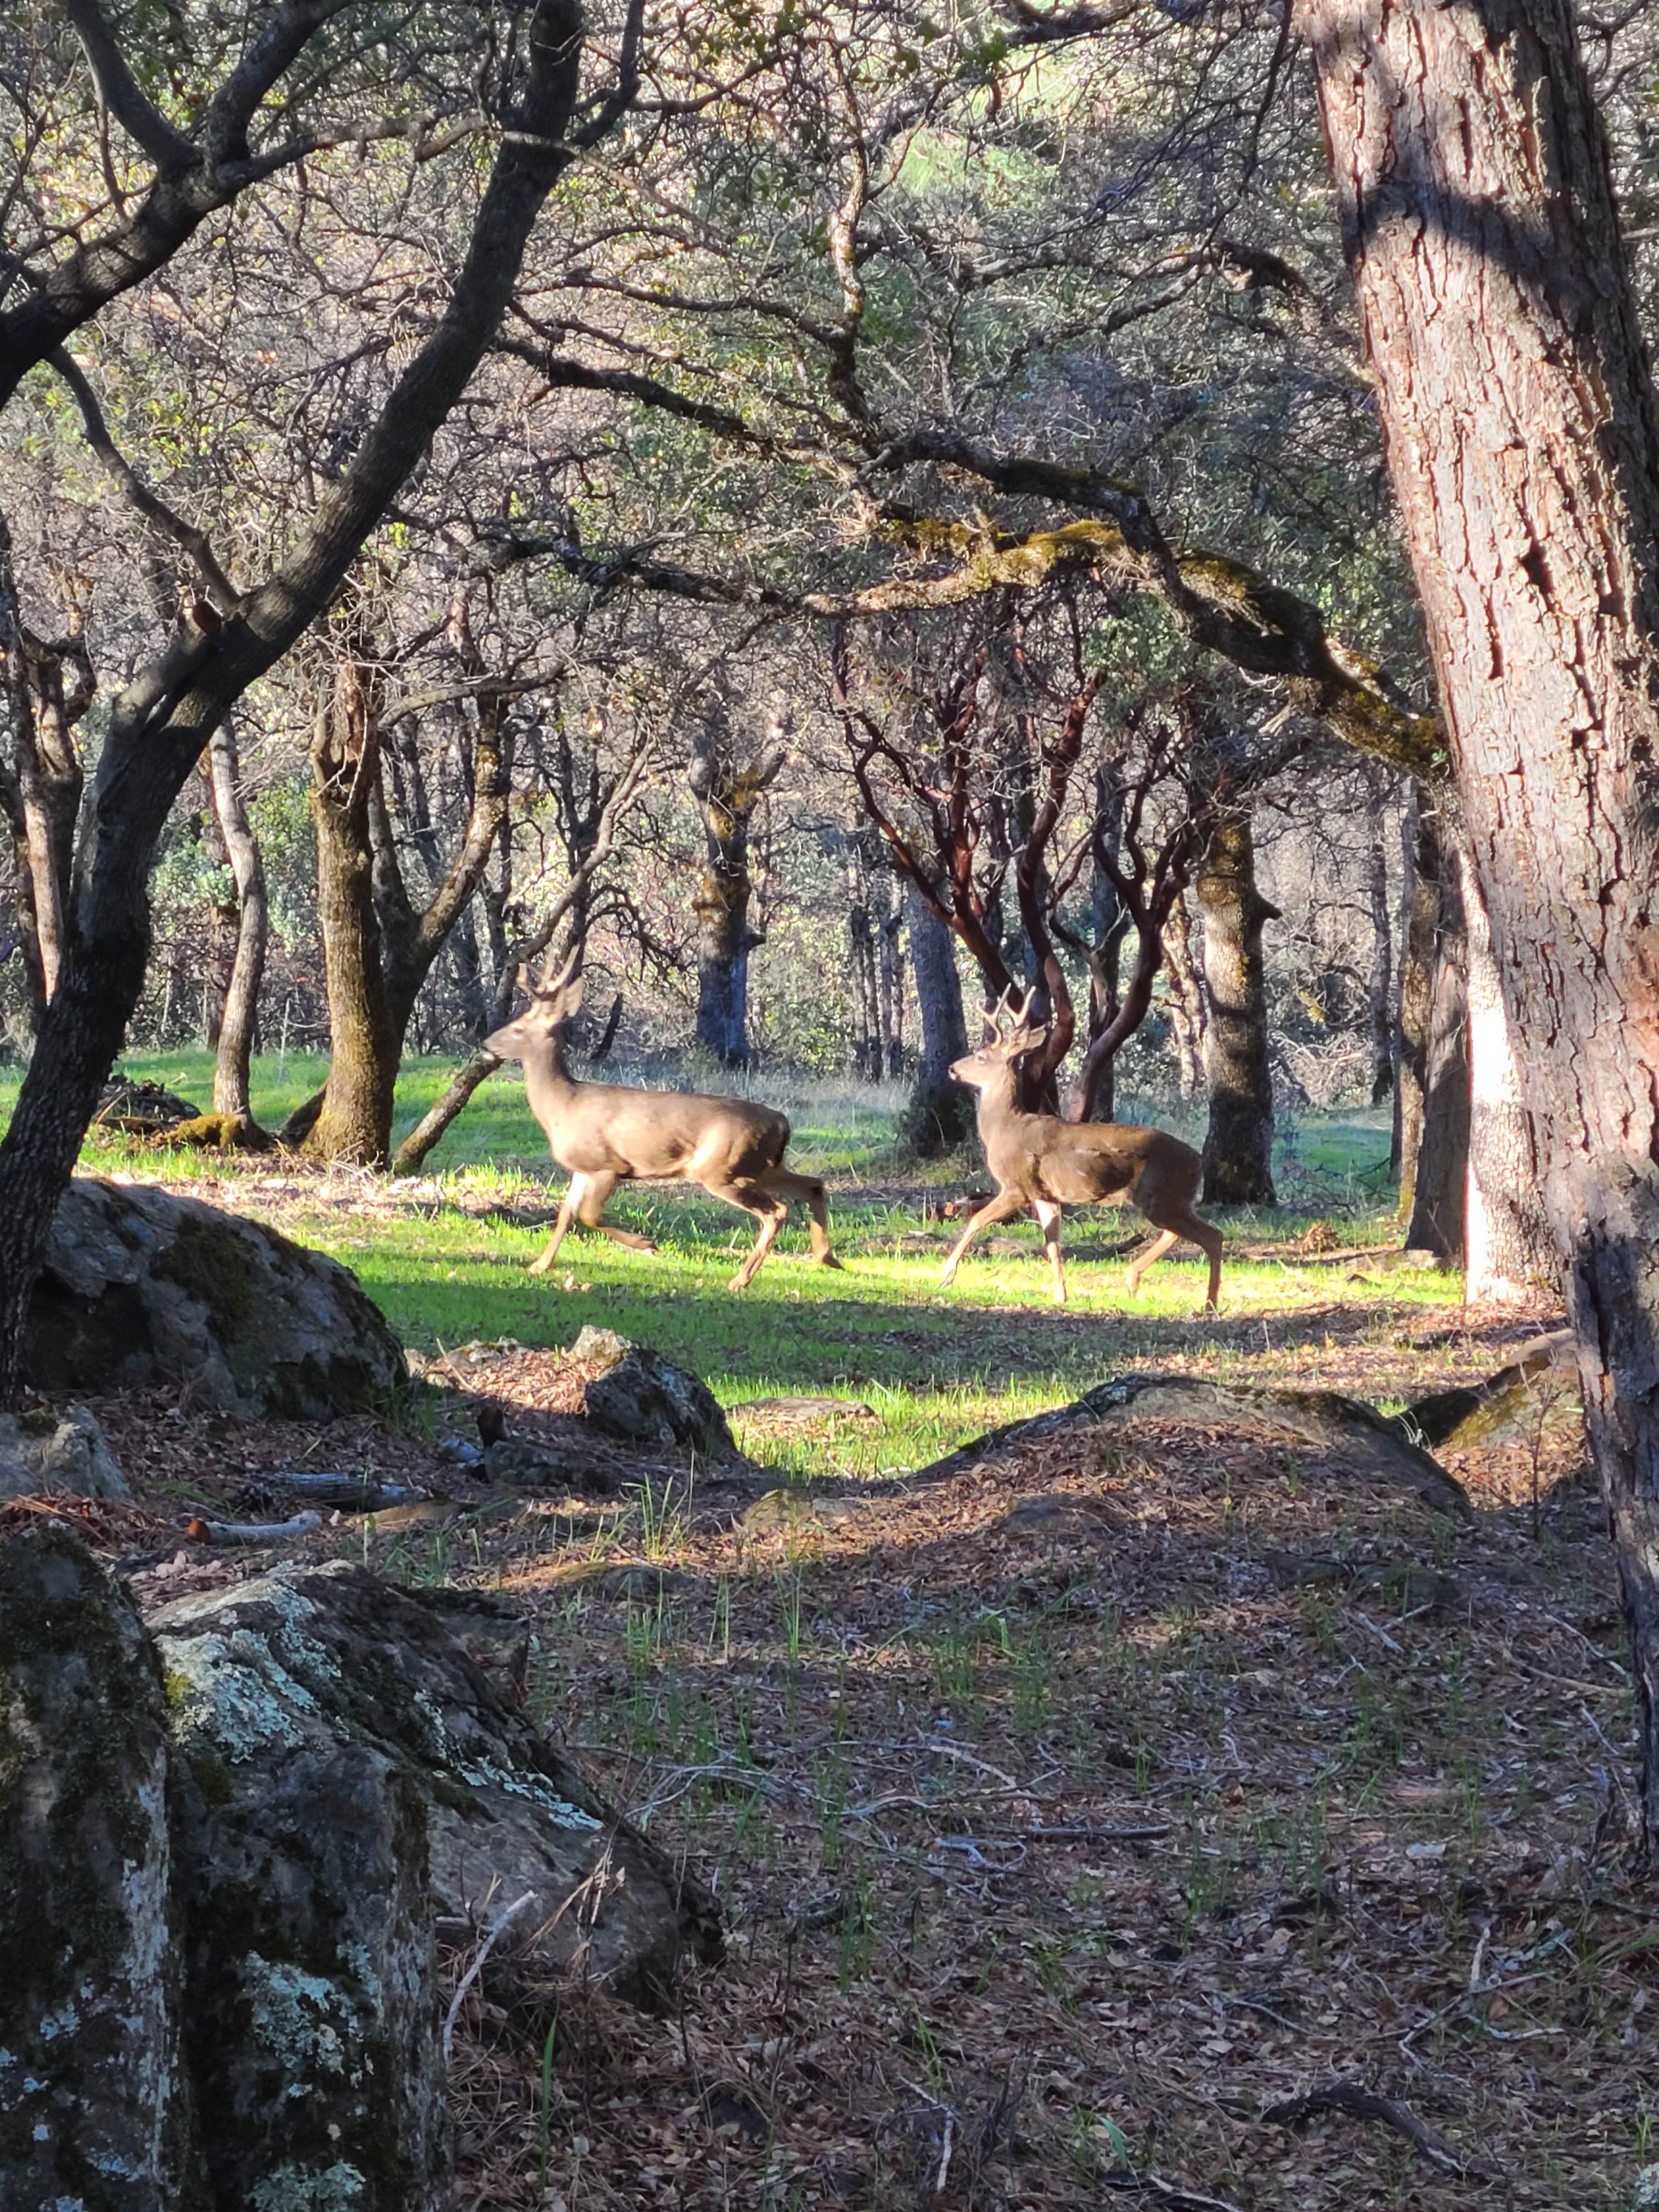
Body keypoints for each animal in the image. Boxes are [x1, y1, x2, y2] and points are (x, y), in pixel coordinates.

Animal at [484, 960, 845, 1291]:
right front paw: (539, 1265)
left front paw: (646, 1244)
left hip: (722, 1168)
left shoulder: (609, 1165)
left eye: (518, 1028)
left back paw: (741, 1280)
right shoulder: (582, 1168)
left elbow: (588, 1215)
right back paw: (827, 1258)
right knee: (813, 1184)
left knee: (777, 1211)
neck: (563, 1106)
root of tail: (782, 1122)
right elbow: (566, 1214)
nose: (487, 1044)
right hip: (758, 1165)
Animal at [942, 1000, 1229, 1309]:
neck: (1003, 1128)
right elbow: (1053, 1244)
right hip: (1170, 1200)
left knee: (1212, 1236)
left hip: (1162, 1196)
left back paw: (1208, 1303)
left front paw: (946, 1274)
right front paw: (1061, 1295)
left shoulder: (1017, 1186)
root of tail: (1198, 1163)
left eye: (981, 1056)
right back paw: (1134, 1279)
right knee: (1180, 1233)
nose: (952, 1068)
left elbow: (976, 1220)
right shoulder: (1044, 1194)